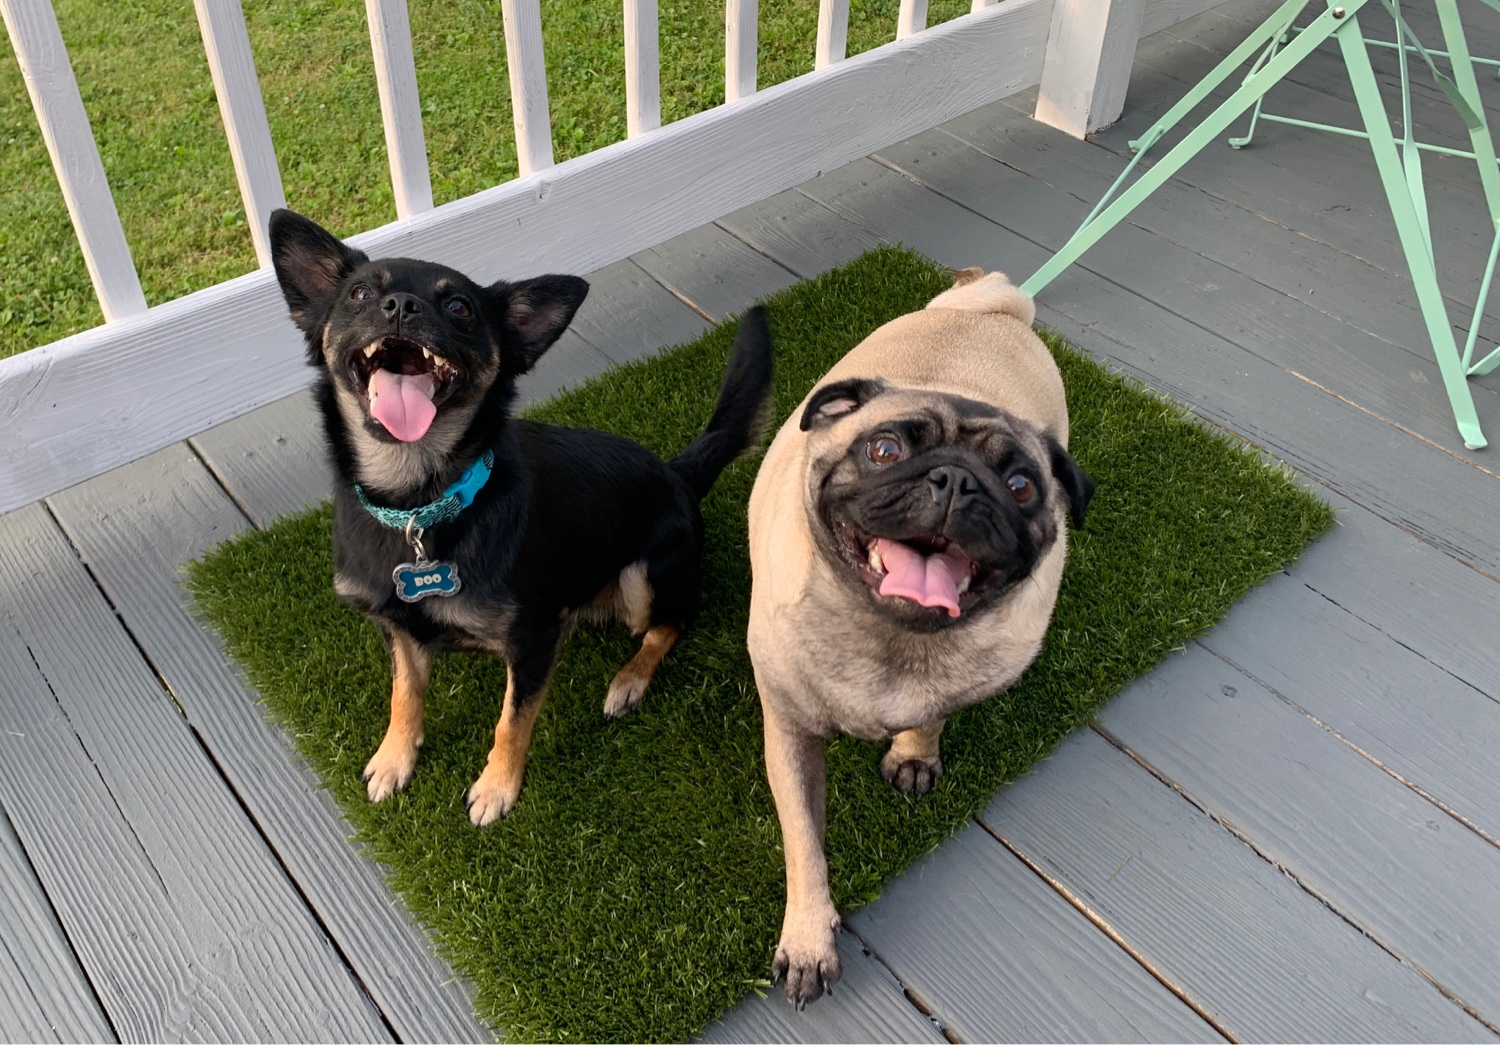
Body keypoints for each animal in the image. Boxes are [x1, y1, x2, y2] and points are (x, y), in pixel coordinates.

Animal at [268, 205, 774, 821]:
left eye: (460, 307)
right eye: (361, 293)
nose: (401, 306)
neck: (418, 502)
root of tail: (679, 474)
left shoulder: (531, 640)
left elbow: (512, 720)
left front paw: (496, 788)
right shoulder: (398, 629)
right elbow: (404, 694)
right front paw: (394, 758)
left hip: (644, 577)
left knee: (672, 622)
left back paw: (629, 681)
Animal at [747, 268, 1092, 1001]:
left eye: (1021, 485)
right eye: (884, 449)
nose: (958, 479)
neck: (893, 638)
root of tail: (988, 308)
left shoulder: (960, 683)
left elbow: (931, 714)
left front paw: (913, 751)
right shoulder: (789, 734)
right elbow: (805, 845)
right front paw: (809, 937)